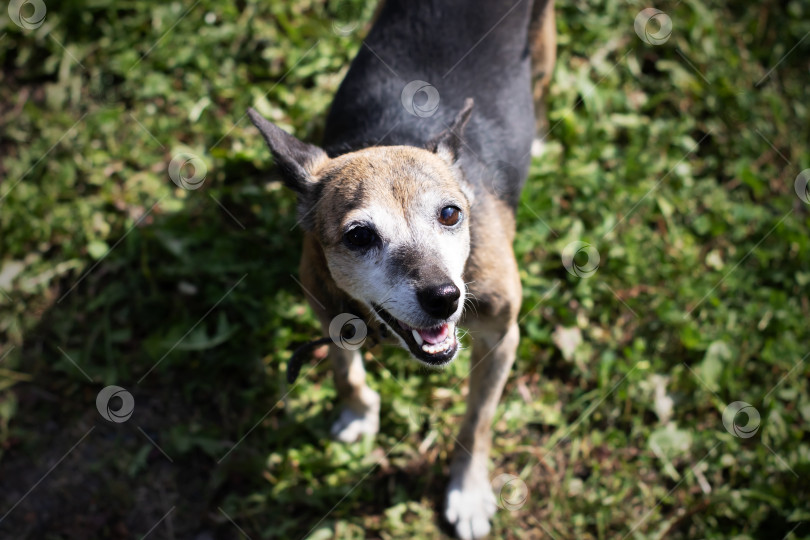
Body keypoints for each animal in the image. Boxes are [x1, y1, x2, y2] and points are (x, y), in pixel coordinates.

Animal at [249, 2, 556, 536]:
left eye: (451, 214)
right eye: (359, 237)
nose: (444, 298)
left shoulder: (502, 336)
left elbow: (478, 419)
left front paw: (468, 492)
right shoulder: (325, 303)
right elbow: (343, 368)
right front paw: (358, 412)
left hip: (543, 45)